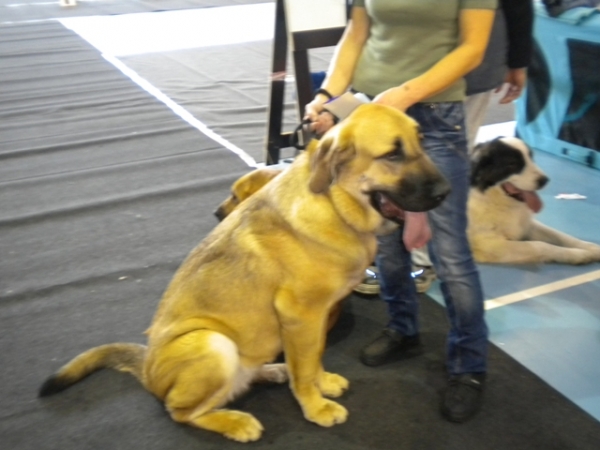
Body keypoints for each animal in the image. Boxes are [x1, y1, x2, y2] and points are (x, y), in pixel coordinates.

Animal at [38, 103, 450, 442]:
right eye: (392, 154)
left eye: (421, 141)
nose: (446, 191)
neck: (334, 203)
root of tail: (148, 370)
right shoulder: (300, 315)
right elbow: (305, 367)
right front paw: (314, 405)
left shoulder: (312, 320)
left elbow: (313, 357)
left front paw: (320, 383)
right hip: (213, 343)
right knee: (180, 412)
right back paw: (236, 422)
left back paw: (272, 371)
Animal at [468, 136, 600, 264]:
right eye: (512, 164)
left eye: (531, 158)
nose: (545, 180)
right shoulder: (491, 246)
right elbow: (541, 246)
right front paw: (579, 254)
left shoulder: (529, 225)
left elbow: (560, 235)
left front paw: (589, 247)